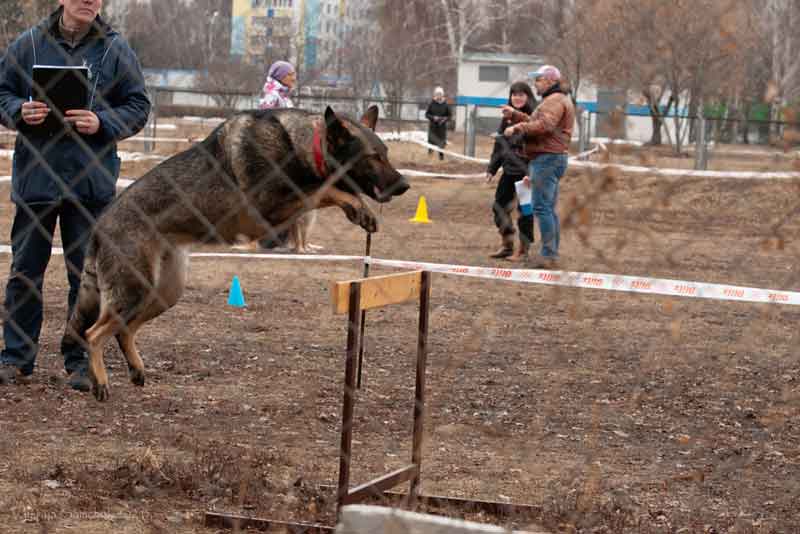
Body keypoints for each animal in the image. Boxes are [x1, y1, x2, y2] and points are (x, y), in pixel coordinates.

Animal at [62, 105, 410, 402]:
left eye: (386, 154)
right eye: (373, 157)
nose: (405, 185)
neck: (302, 147)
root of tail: (99, 225)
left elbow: (331, 190)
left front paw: (362, 211)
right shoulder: (271, 207)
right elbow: (324, 190)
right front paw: (354, 205)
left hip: (164, 291)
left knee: (123, 330)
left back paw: (136, 370)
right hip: (136, 288)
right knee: (93, 334)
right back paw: (100, 382)